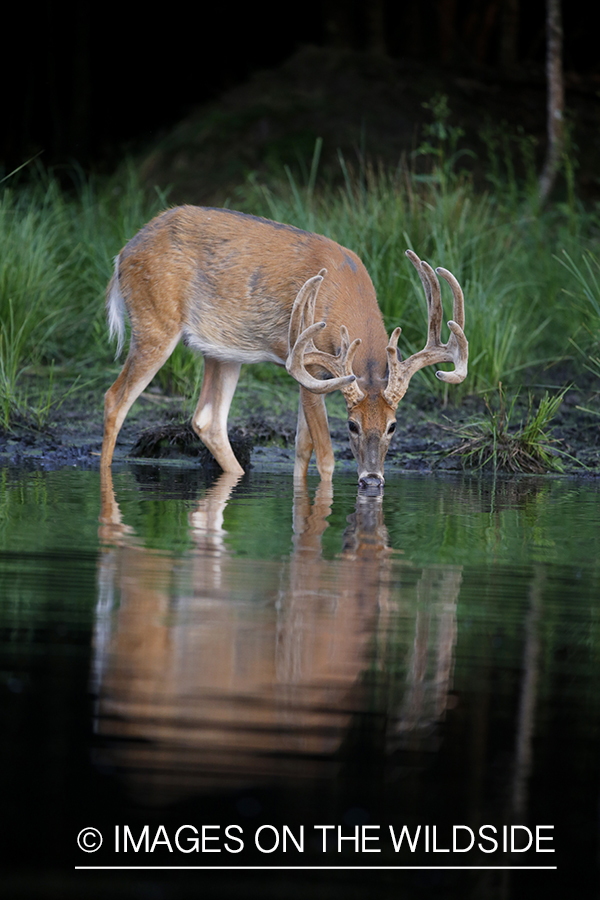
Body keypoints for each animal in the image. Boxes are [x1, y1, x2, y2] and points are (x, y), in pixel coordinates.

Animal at [101, 206, 468, 486]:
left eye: (393, 425)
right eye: (352, 425)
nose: (372, 480)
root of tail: (122, 254)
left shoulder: (316, 376)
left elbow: (301, 449)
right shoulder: (308, 364)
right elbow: (325, 456)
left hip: (221, 351)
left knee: (207, 419)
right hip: (154, 321)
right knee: (115, 399)